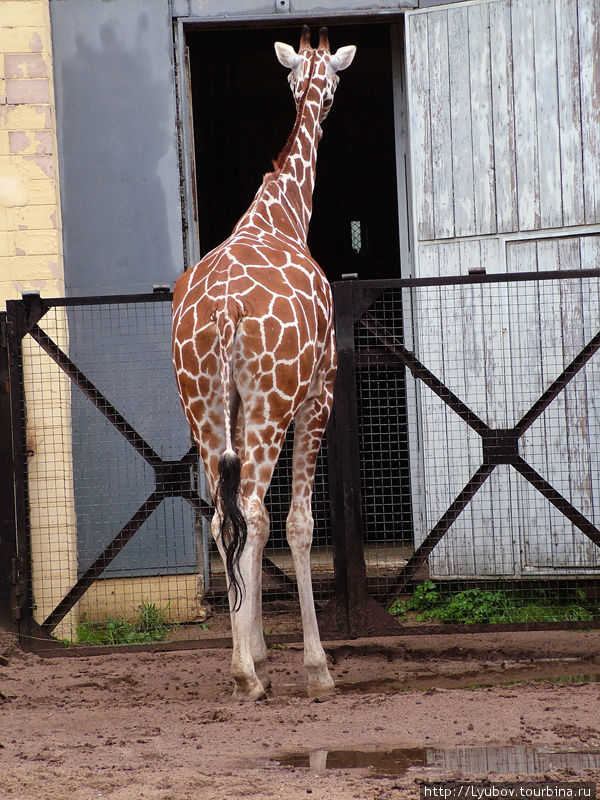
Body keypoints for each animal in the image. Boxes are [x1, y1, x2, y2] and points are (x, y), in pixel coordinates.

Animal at [171, 26, 354, 700]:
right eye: (333, 80)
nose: (323, 107)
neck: (282, 213)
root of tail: (225, 313)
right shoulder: (318, 392)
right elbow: (297, 523)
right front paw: (313, 666)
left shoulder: (235, 405)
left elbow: (258, 523)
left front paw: (260, 648)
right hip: (273, 405)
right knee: (249, 507)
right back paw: (247, 675)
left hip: (201, 404)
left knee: (225, 514)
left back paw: (242, 666)